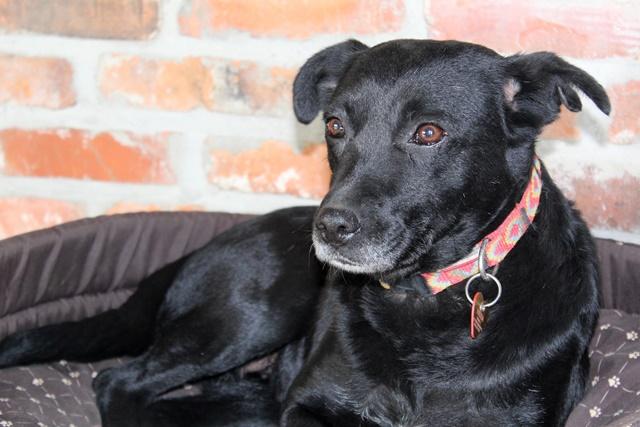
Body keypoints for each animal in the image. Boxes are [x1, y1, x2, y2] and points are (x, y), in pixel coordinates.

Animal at [0, 39, 611, 426]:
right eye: (335, 126)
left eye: (429, 133)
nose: (329, 228)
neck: (424, 299)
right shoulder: (308, 405)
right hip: (256, 313)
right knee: (118, 383)